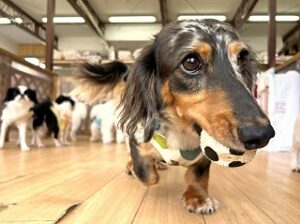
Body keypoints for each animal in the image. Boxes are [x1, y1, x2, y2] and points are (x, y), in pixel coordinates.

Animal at [74, 19, 276, 215]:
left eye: (243, 58)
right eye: (191, 62)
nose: (260, 134)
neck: (181, 130)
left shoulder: (202, 156)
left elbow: (197, 174)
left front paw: (198, 197)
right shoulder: (138, 140)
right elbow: (148, 175)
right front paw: (139, 168)